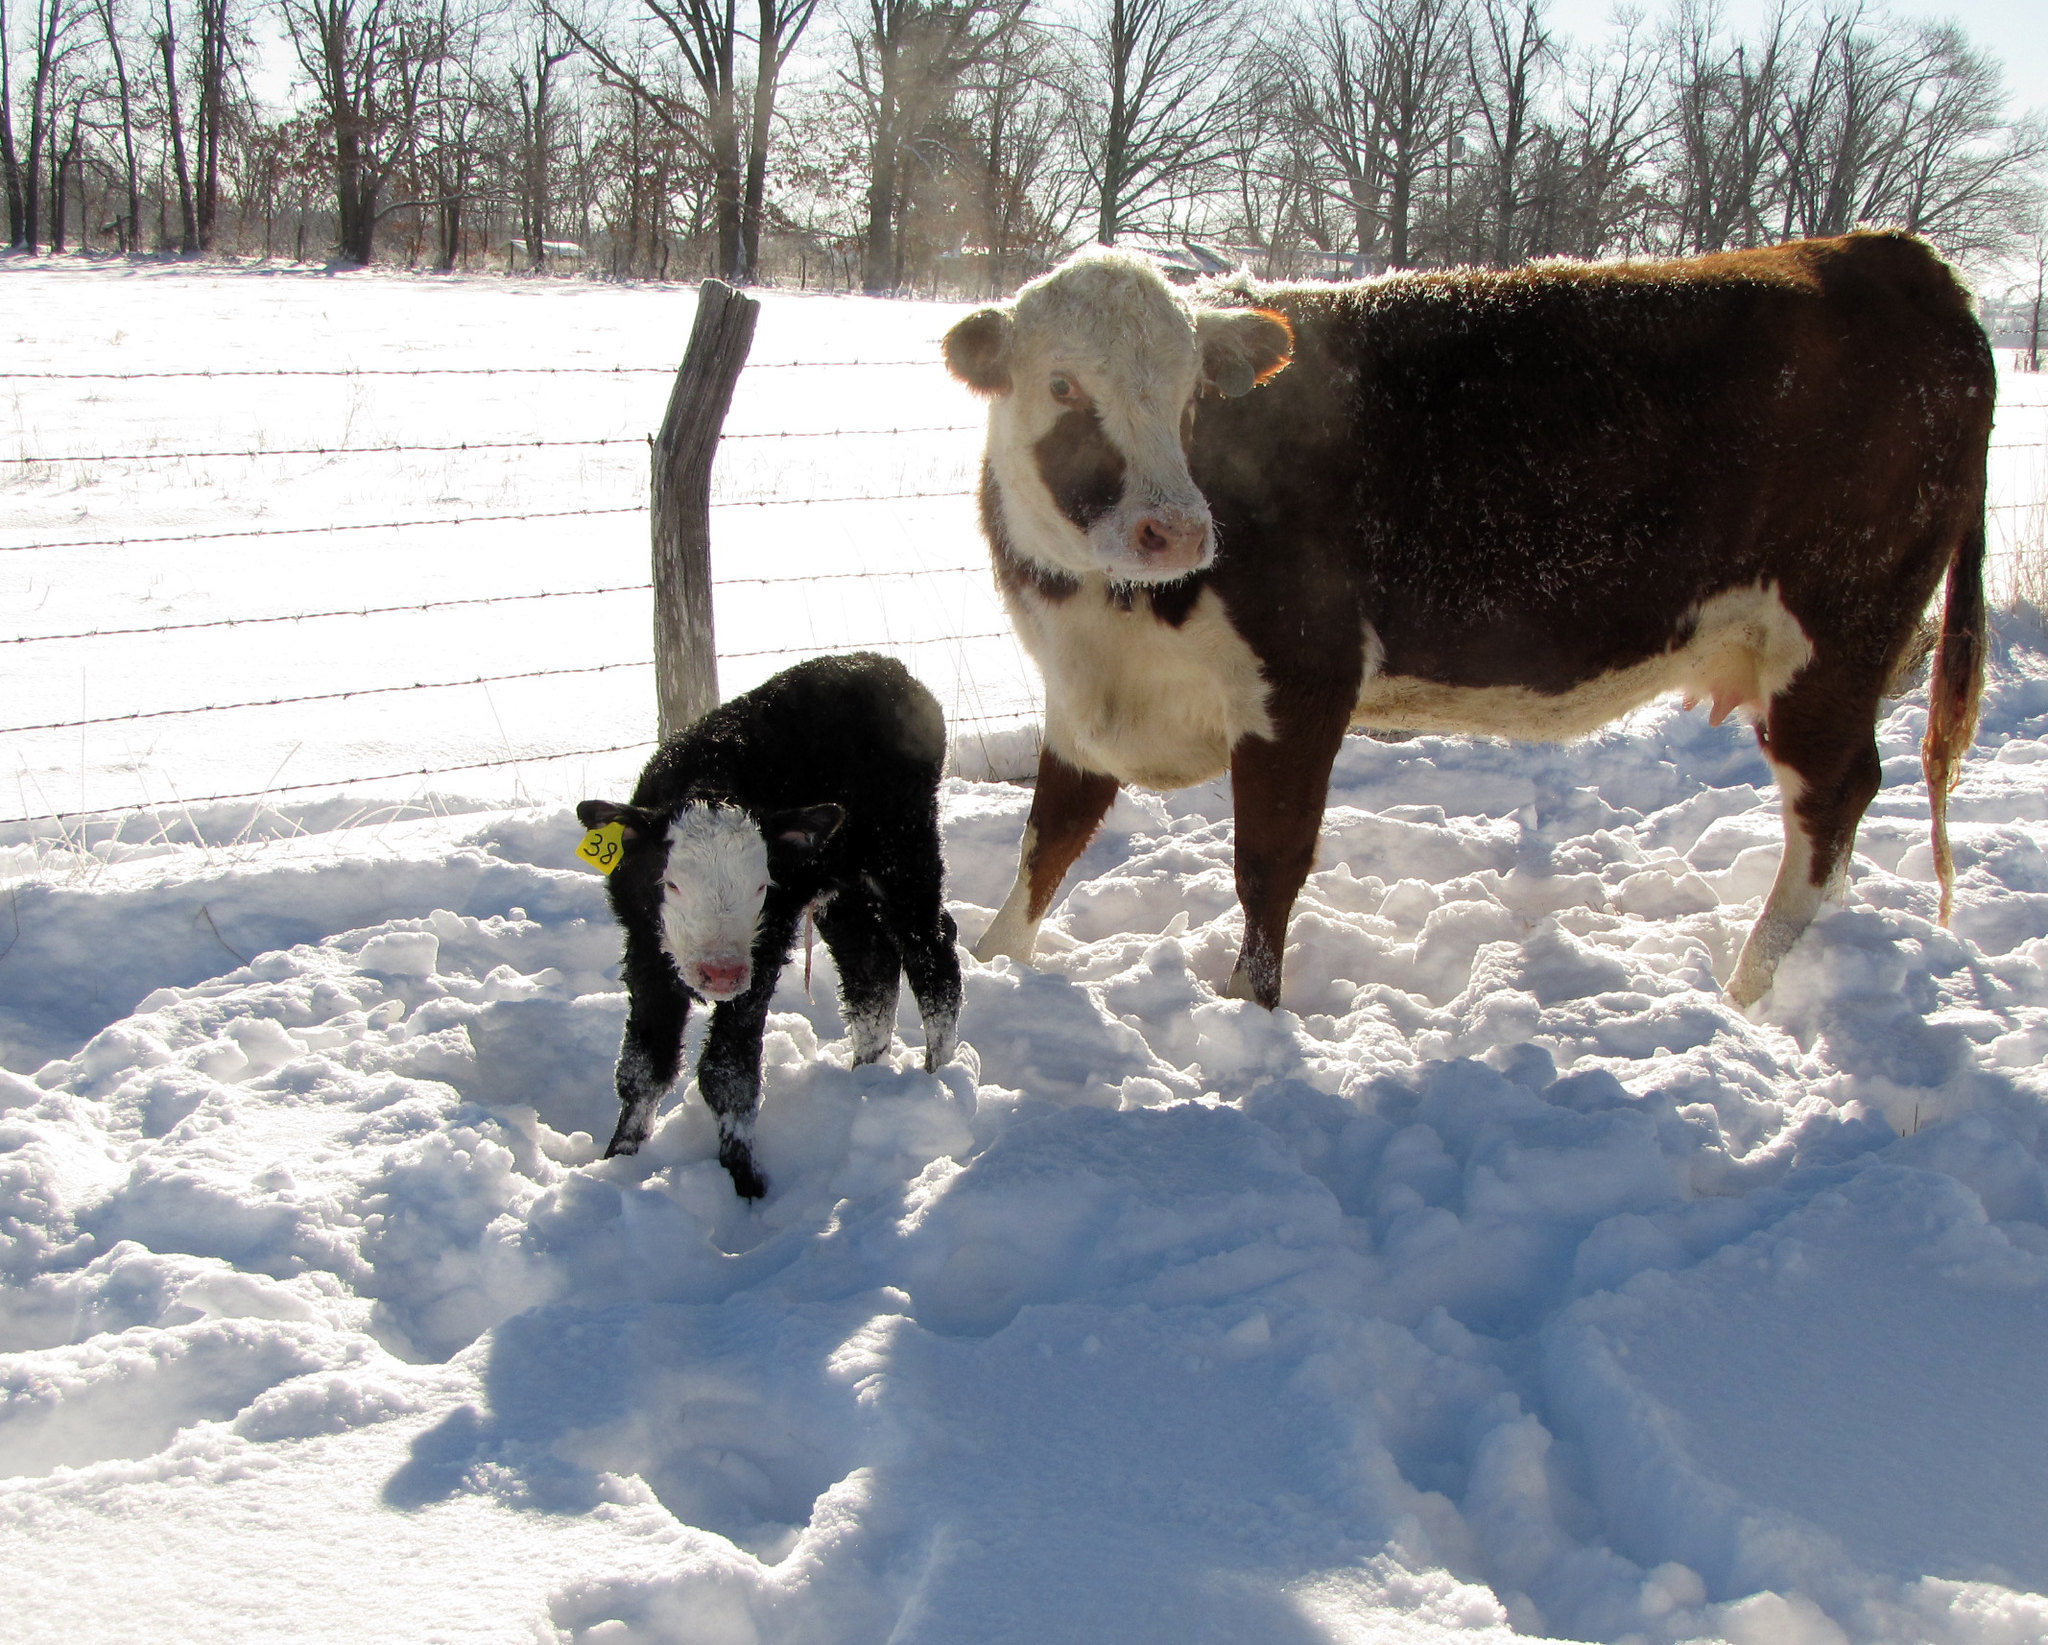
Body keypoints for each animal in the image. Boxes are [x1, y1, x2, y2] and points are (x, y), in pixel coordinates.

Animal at [950, 228, 1990, 1003]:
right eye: (1062, 384)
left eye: (1196, 389)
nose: (1175, 528)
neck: (1103, 608)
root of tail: (1887, 251)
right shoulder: (1079, 700)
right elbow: (1046, 844)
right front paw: (990, 972)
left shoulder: (1306, 678)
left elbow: (1266, 867)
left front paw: (1248, 1014)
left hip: (1837, 634)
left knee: (1832, 798)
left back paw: (1752, 992)